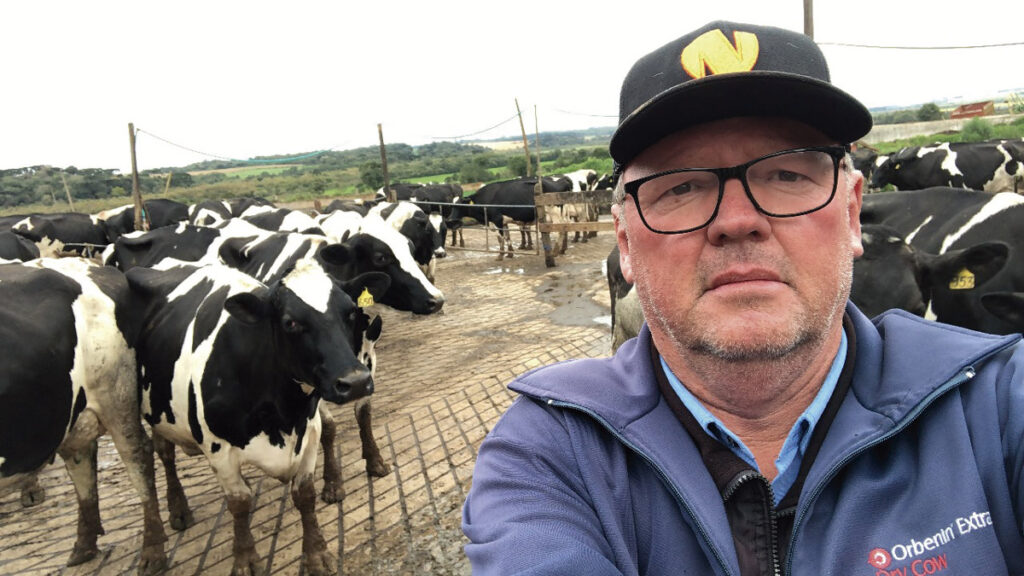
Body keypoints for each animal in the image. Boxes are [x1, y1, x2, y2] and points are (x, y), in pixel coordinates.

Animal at [0, 259, 165, 569]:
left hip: (116, 393)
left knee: (137, 456)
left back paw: (153, 550)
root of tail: (90, 264)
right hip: (71, 418)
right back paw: (84, 545)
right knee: (82, 463)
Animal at [124, 258, 387, 569]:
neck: (284, 412)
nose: (356, 382)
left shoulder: (309, 433)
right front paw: (246, 559)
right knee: (163, 454)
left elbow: (305, 495)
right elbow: (239, 503)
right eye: (290, 322)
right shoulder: (218, 447)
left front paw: (316, 553)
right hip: (151, 411)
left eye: (350, 313)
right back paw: (177, 512)